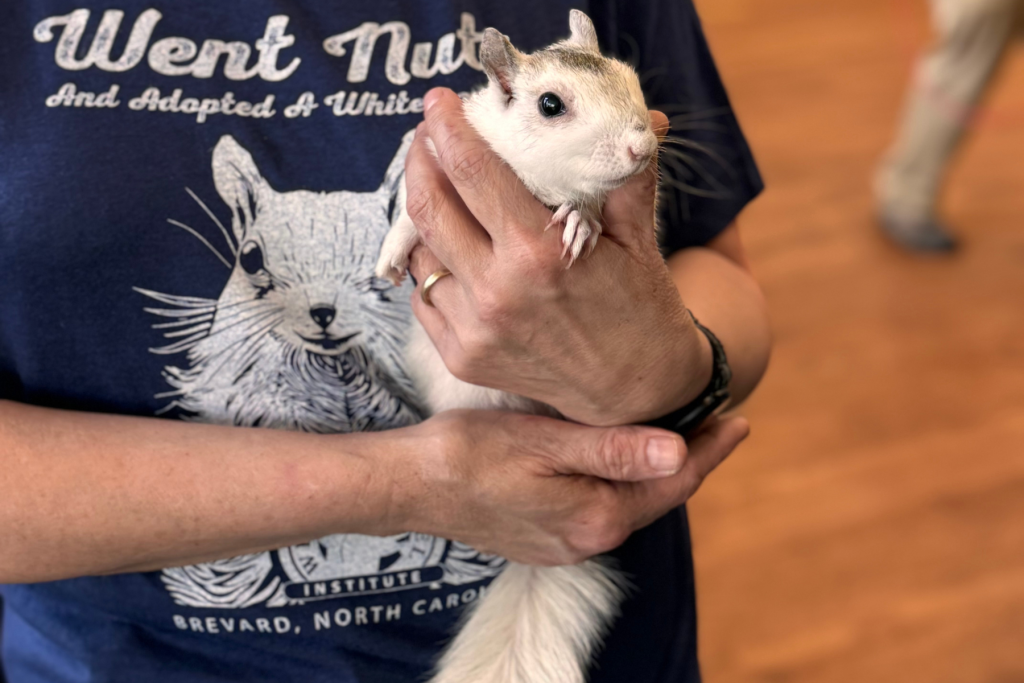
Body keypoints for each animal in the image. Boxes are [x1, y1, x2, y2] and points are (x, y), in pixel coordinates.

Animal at [375, 10, 660, 683]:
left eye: (630, 76)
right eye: (549, 104)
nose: (642, 150)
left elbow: (590, 202)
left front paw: (581, 216)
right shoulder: (434, 159)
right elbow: (408, 216)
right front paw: (392, 255)